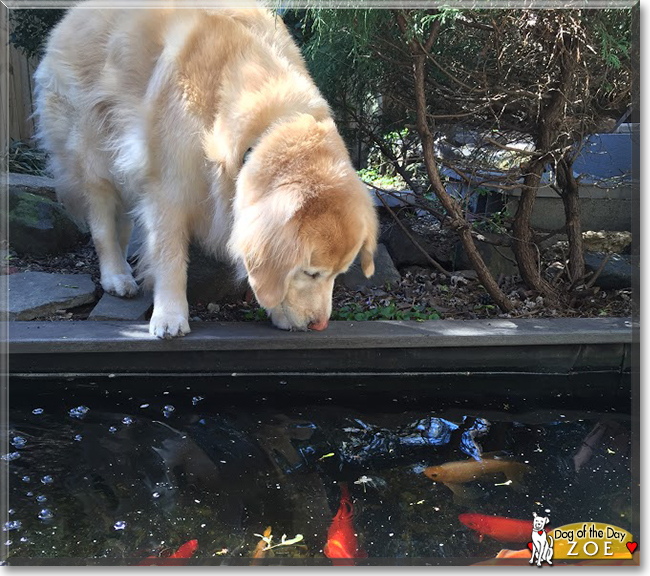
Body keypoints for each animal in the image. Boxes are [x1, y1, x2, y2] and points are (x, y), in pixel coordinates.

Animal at [35, 2, 378, 338]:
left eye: (337, 274)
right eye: (310, 272)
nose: (319, 324)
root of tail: (71, 14)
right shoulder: (167, 189)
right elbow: (170, 257)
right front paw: (170, 316)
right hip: (93, 153)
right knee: (102, 221)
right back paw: (116, 275)